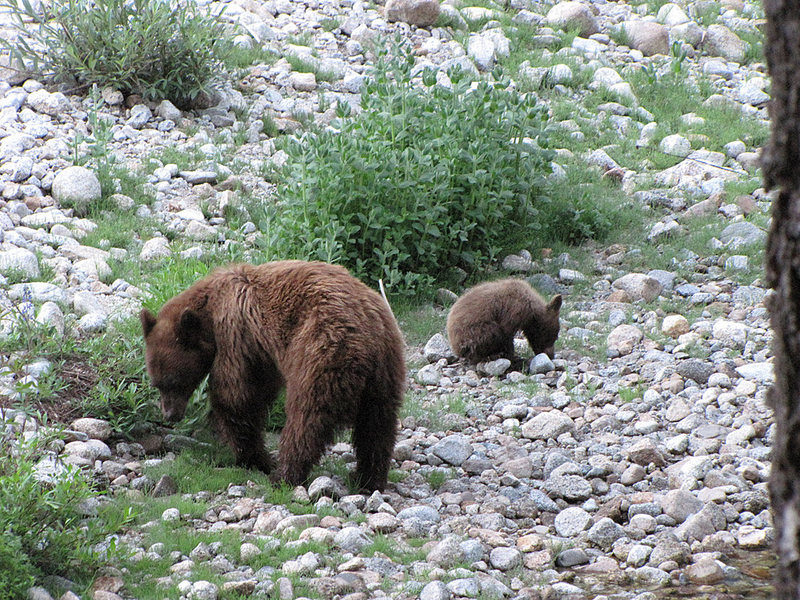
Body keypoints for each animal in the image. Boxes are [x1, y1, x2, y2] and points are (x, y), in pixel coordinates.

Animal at [139, 262, 406, 492]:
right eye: (156, 383)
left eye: (174, 382)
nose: (170, 414)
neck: (209, 314)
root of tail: (368, 336)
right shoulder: (260, 347)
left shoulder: (236, 335)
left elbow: (237, 395)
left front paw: (255, 459)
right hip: (385, 371)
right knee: (377, 425)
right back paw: (369, 478)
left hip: (321, 351)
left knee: (306, 417)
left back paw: (285, 474)